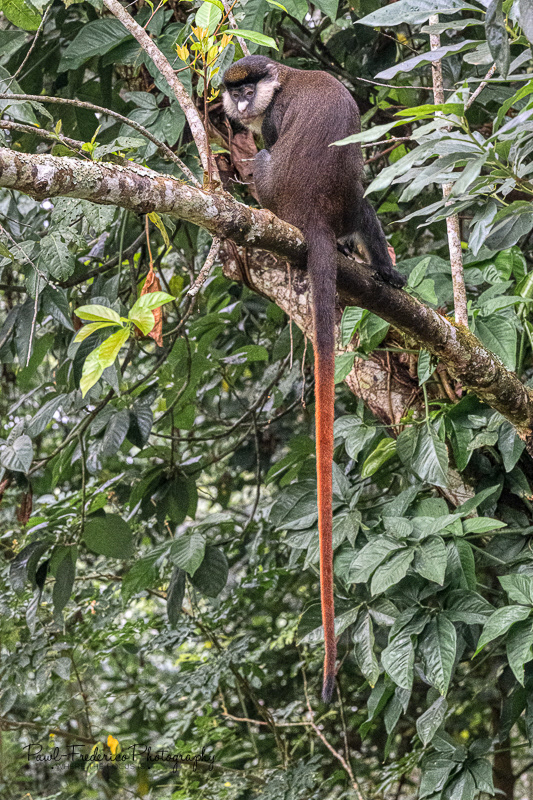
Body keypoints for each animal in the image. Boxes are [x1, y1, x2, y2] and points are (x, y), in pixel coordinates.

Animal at [222, 55, 405, 702]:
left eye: (249, 86)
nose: (238, 105)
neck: (281, 75)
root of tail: (315, 219)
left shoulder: (274, 113)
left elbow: (266, 135)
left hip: (274, 190)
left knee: (260, 164)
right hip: (348, 209)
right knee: (365, 211)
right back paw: (383, 271)